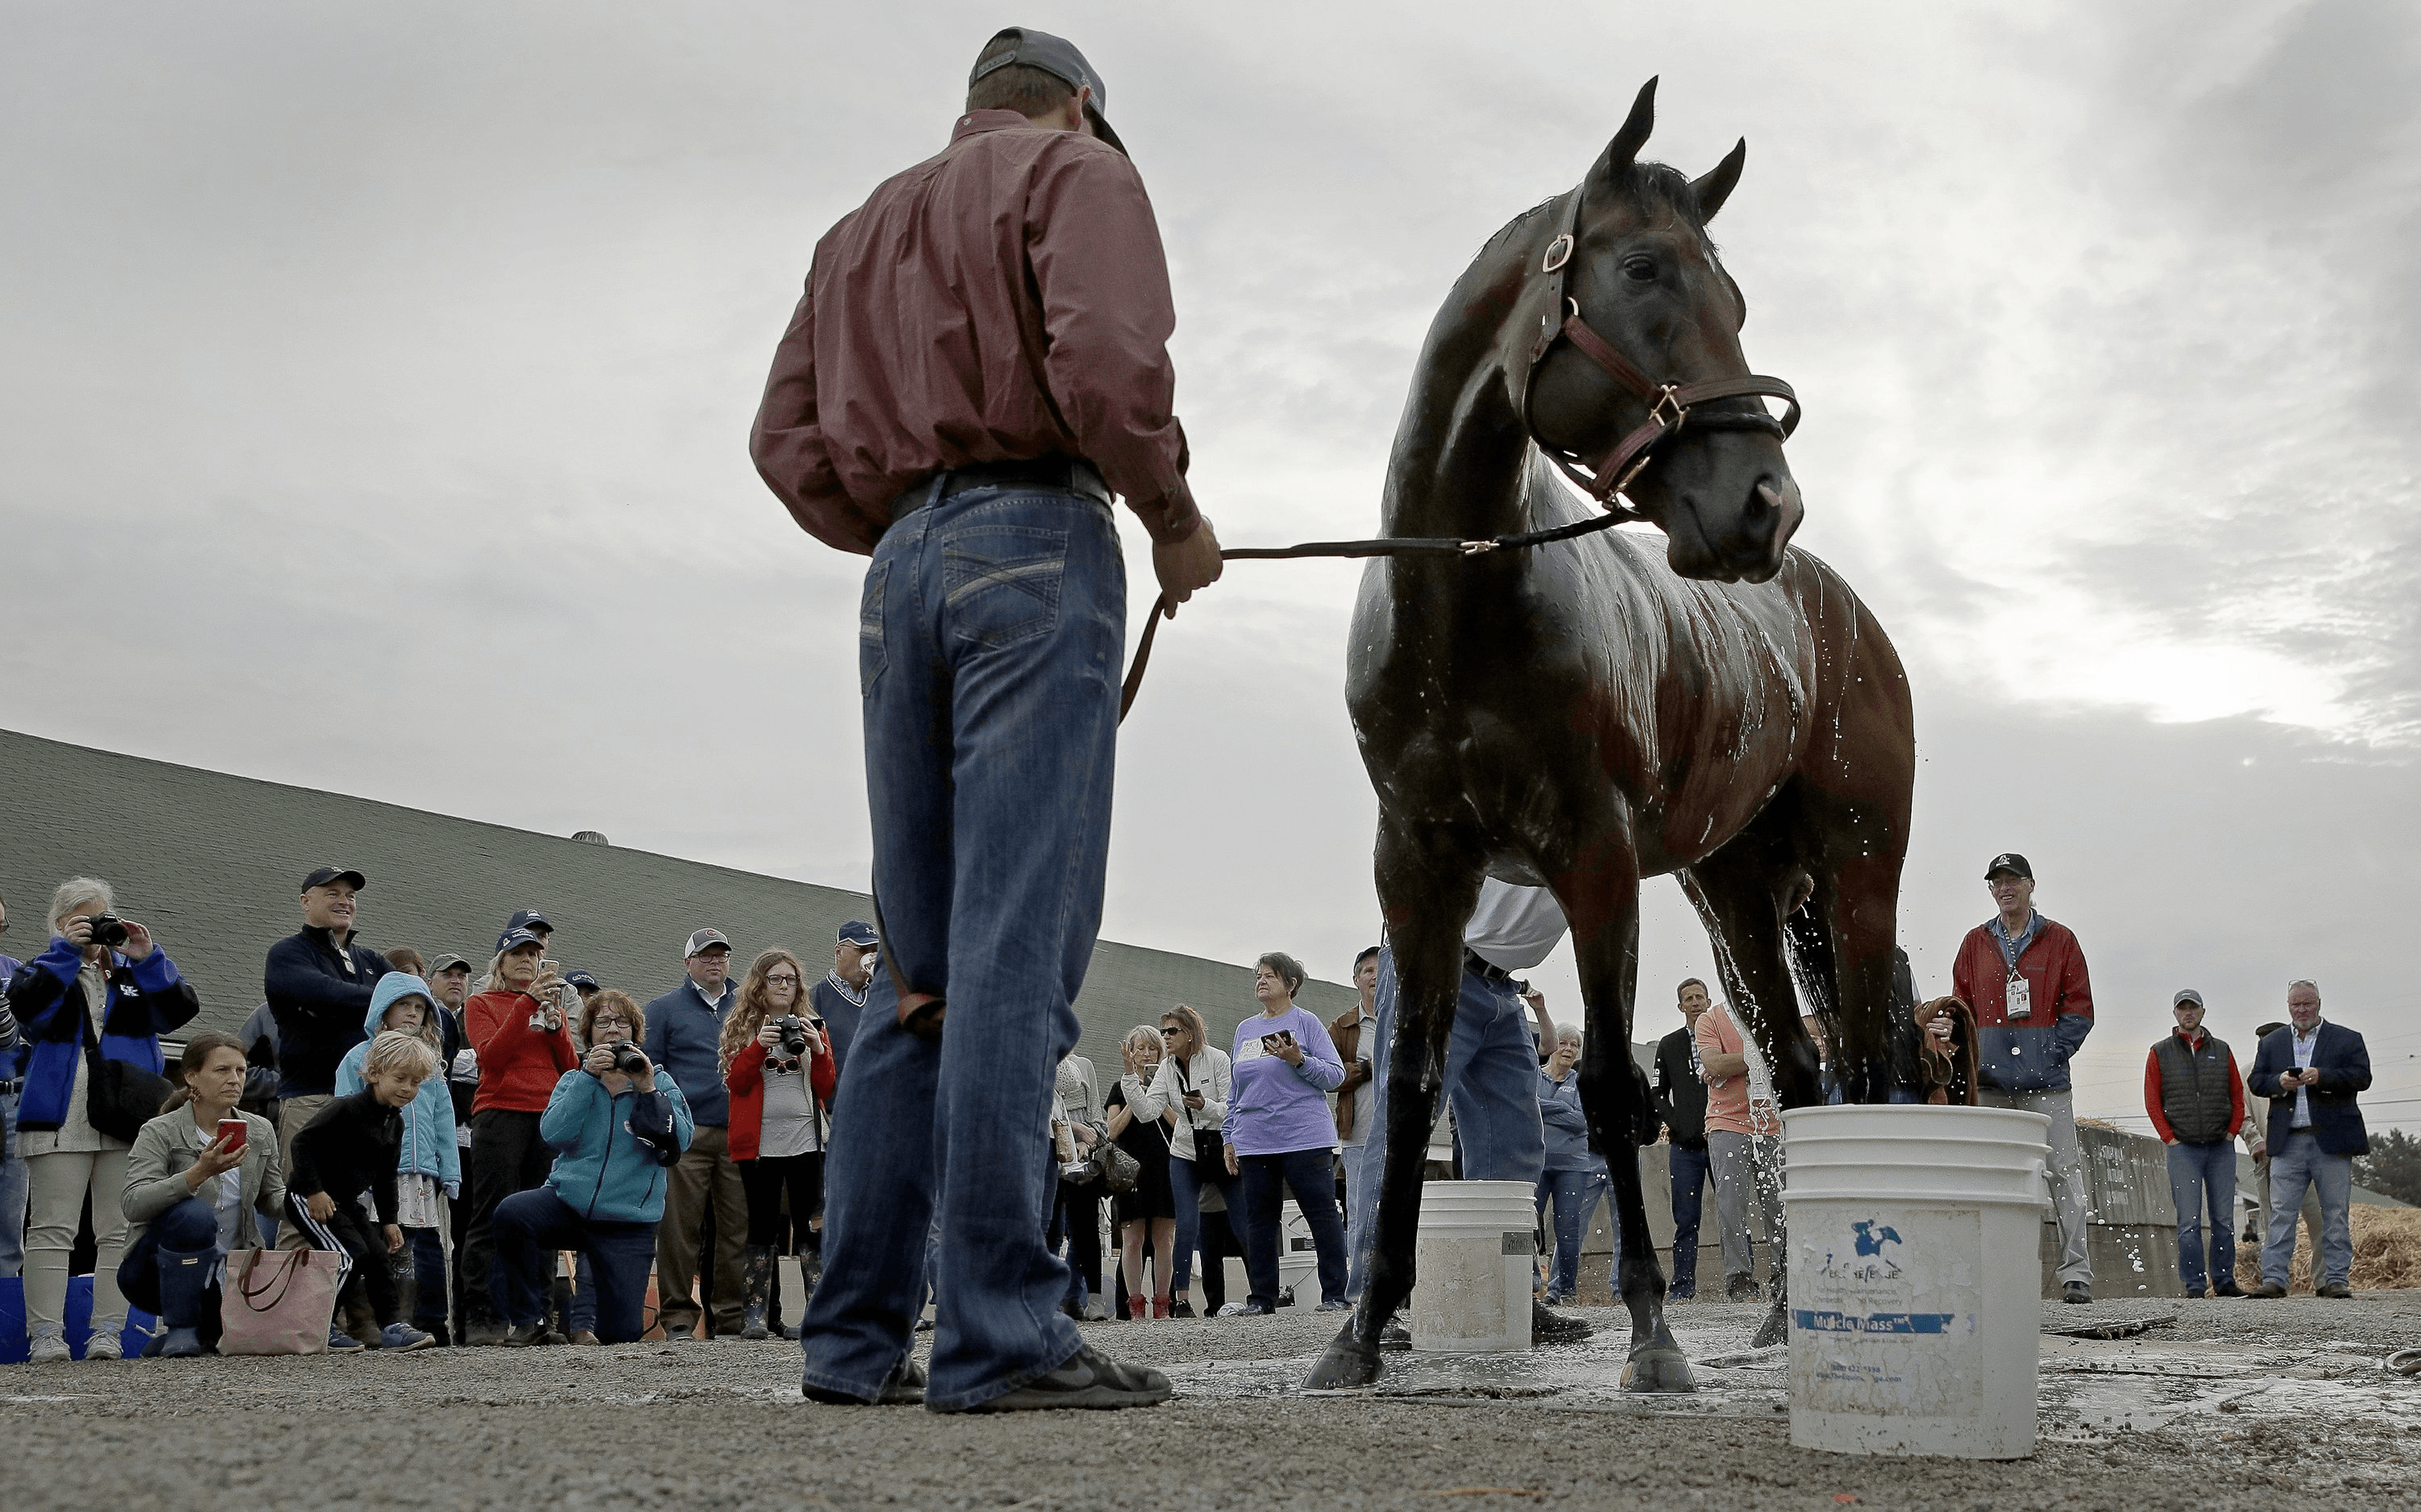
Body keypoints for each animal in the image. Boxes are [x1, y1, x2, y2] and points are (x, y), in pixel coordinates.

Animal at [1317, 77, 1917, 1384]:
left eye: (1734, 297)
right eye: (1643, 269)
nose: (1766, 504)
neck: (1464, 604)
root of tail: (1836, 608)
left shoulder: (1594, 858)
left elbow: (1603, 1084)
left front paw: (1652, 1330)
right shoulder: (1417, 864)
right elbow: (1412, 1087)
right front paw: (1361, 1328)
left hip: (1858, 872)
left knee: (1861, 1066)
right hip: (1737, 900)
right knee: (1802, 1075)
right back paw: (1781, 1315)